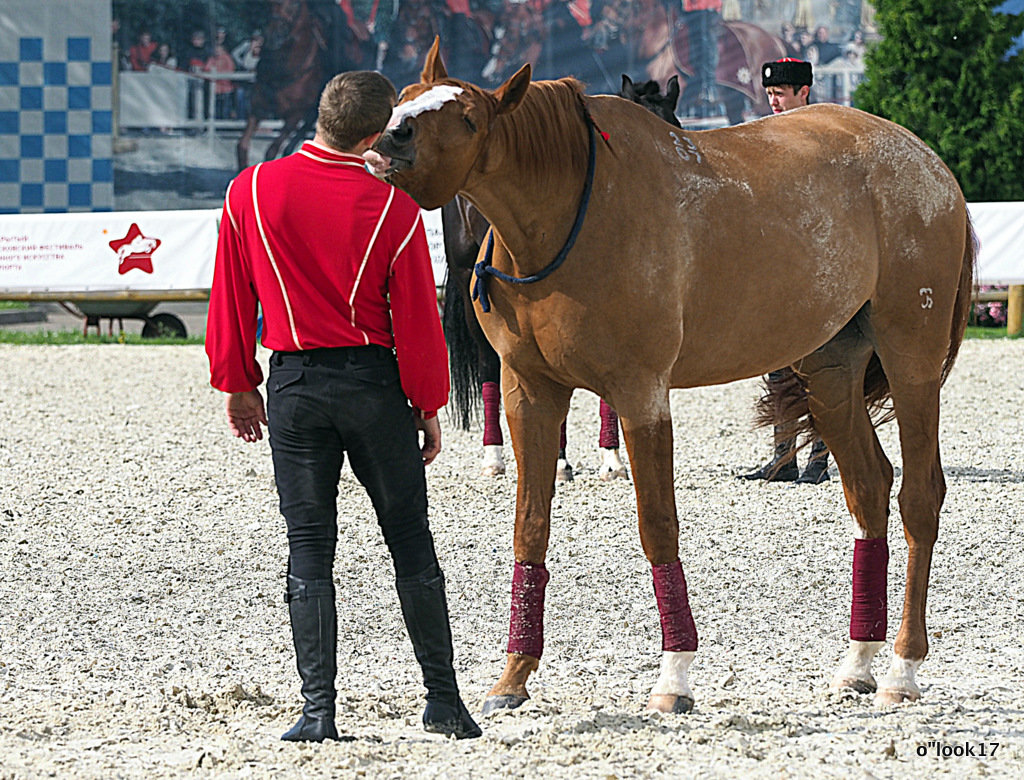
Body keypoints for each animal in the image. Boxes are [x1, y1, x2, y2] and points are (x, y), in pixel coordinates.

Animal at [374, 39, 974, 712]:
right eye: (405, 98)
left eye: (468, 118)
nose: (390, 139)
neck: (572, 210)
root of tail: (929, 164)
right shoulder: (529, 392)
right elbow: (530, 527)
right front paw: (514, 676)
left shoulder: (642, 394)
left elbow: (658, 525)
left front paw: (675, 675)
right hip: (831, 372)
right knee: (869, 489)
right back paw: (858, 661)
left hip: (911, 359)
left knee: (918, 497)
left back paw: (902, 667)